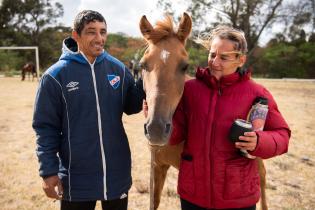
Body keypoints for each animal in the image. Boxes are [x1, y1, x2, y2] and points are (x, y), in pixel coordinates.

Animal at [139, 13, 270, 210]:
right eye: (143, 65)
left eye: (185, 66)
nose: (156, 129)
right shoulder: (157, 166)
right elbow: (154, 202)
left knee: (261, 180)